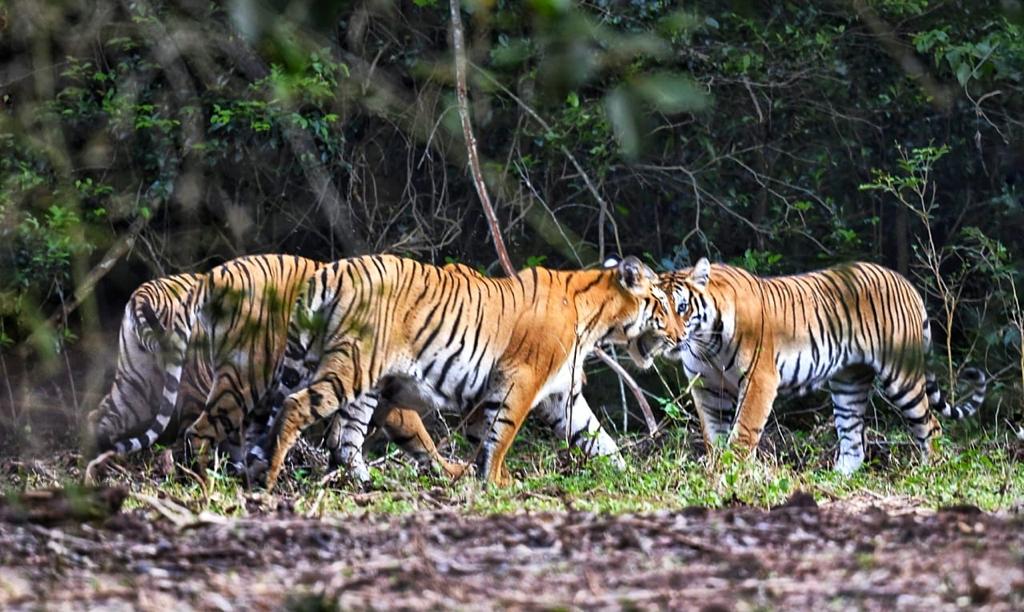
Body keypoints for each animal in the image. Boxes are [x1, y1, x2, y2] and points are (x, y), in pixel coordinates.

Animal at [245, 254, 679, 490]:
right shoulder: (520, 378)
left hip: (355, 380)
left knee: (342, 439)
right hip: (352, 366)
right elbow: (502, 433)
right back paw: (270, 478)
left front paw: (625, 476)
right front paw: (497, 481)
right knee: (299, 408)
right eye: (663, 305)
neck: (598, 319)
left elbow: (597, 439)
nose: (678, 334)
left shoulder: (562, 395)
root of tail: (330, 271)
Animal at [660, 258, 987, 475]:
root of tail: (906, 283)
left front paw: (734, 472)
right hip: (849, 383)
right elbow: (713, 433)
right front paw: (715, 469)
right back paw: (836, 478)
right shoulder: (706, 386)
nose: (671, 337)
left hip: (902, 377)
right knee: (854, 440)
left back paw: (931, 471)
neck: (706, 343)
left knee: (931, 426)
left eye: (682, 307)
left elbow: (743, 431)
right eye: (658, 310)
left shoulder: (759, 378)